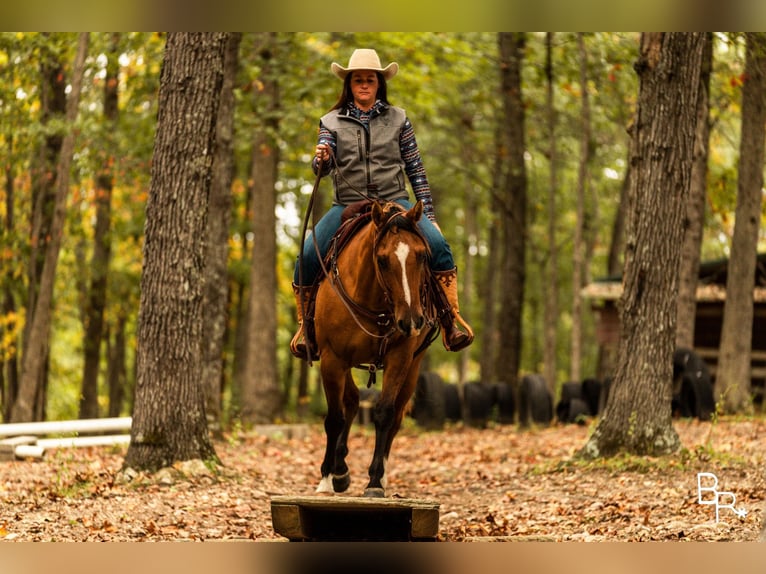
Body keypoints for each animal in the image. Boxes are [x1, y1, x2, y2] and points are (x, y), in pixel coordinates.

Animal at [314, 200, 438, 498]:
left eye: (422, 256)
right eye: (381, 260)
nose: (411, 321)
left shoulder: (400, 357)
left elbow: (384, 414)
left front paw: (374, 481)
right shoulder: (332, 358)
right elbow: (335, 417)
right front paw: (326, 478)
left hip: (413, 367)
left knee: (396, 416)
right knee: (351, 401)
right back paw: (339, 471)